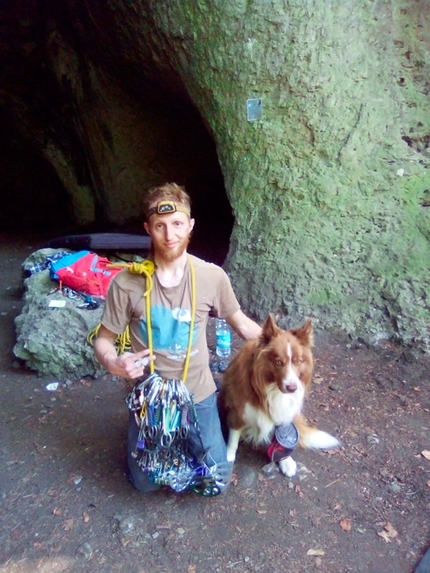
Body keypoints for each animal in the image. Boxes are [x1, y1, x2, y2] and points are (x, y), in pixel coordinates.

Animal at [218, 316, 340, 476]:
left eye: (298, 361)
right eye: (278, 362)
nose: (292, 388)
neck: (272, 388)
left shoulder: (282, 411)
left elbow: (280, 438)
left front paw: (285, 460)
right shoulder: (238, 412)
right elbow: (233, 440)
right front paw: (228, 458)